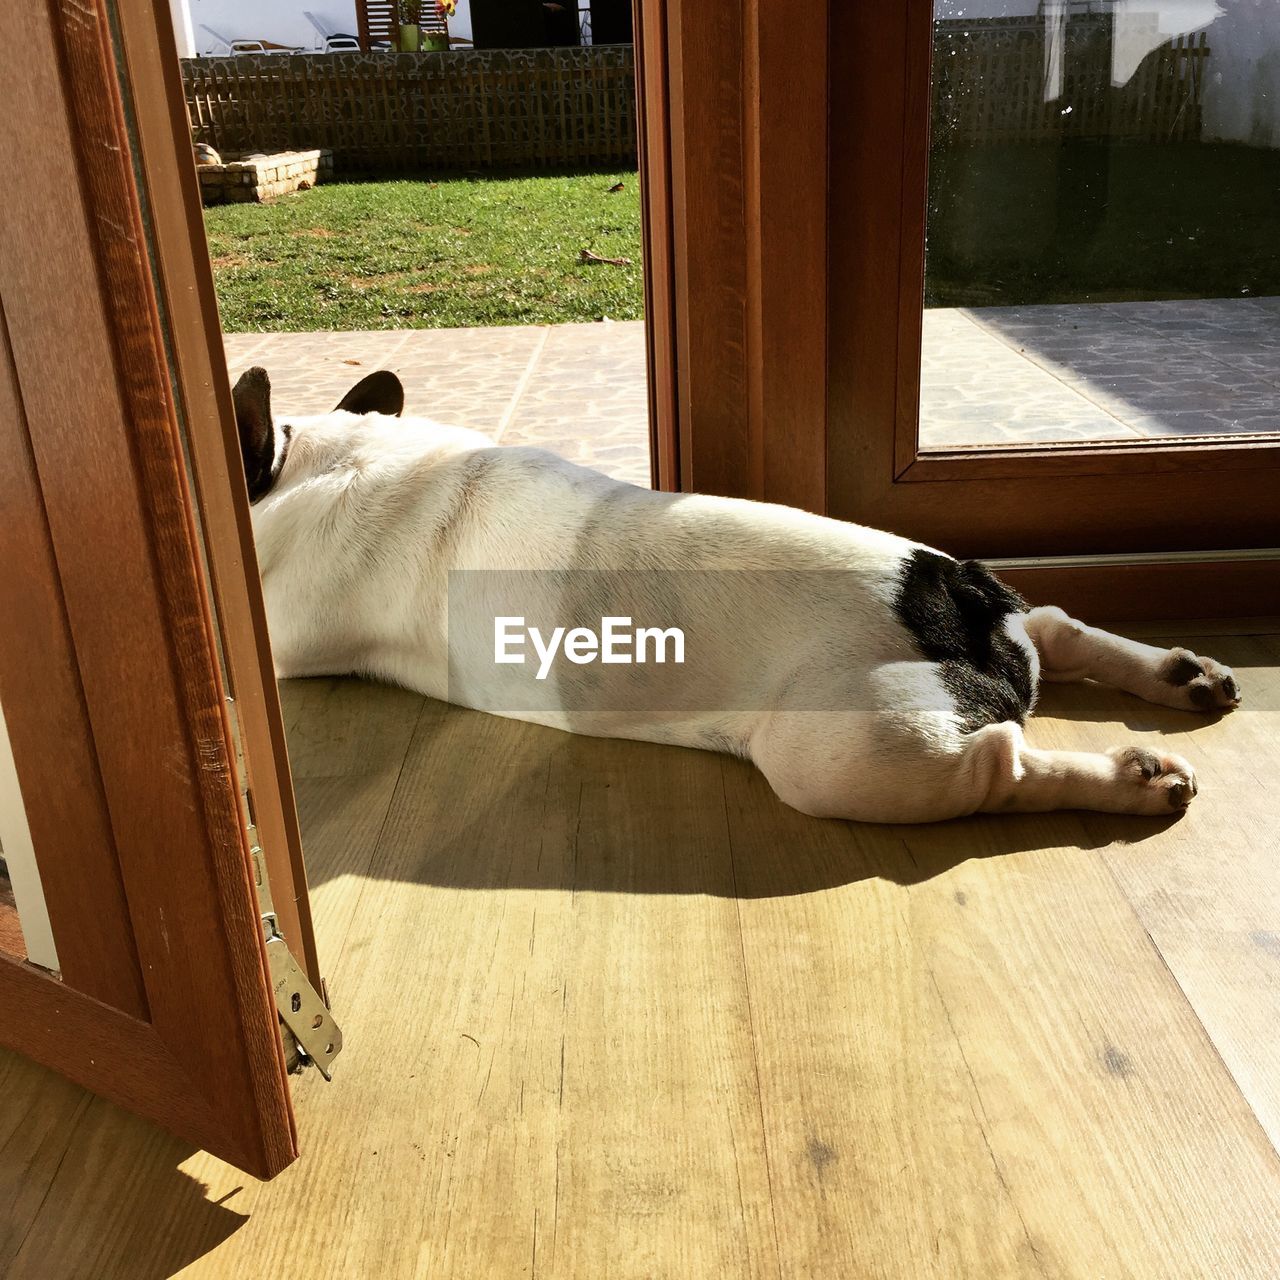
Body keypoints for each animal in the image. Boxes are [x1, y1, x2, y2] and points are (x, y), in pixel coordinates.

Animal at [232, 366, 1239, 824]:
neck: (325, 456)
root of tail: (952, 593)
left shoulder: (281, 635)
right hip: (980, 650)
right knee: (1054, 626)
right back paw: (1179, 673)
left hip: (848, 749)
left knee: (999, 768)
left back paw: (1131, 782)